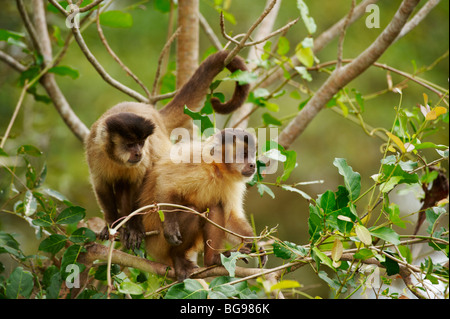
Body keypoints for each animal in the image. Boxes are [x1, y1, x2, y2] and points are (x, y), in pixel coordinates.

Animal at [85, 51, 250, 250]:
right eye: (130, 144)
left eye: (140, 143)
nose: (138, 153)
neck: (116, 159)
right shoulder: (94, 150)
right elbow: (101, 185)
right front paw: (110, 224)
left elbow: (140, 185)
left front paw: (134, 227)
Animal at [140, 129, 260, 282]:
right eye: (243, 155)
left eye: (252, 154)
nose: (253, 164)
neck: (216, 168)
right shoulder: (194, 162)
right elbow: (166, 185)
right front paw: (170, 228)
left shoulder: (231, 183)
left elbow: (229, 219)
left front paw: (255, 245)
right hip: (158, 243)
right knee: (192, 212)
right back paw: (178, 257)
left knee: (216, 207)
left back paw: (213, 260)